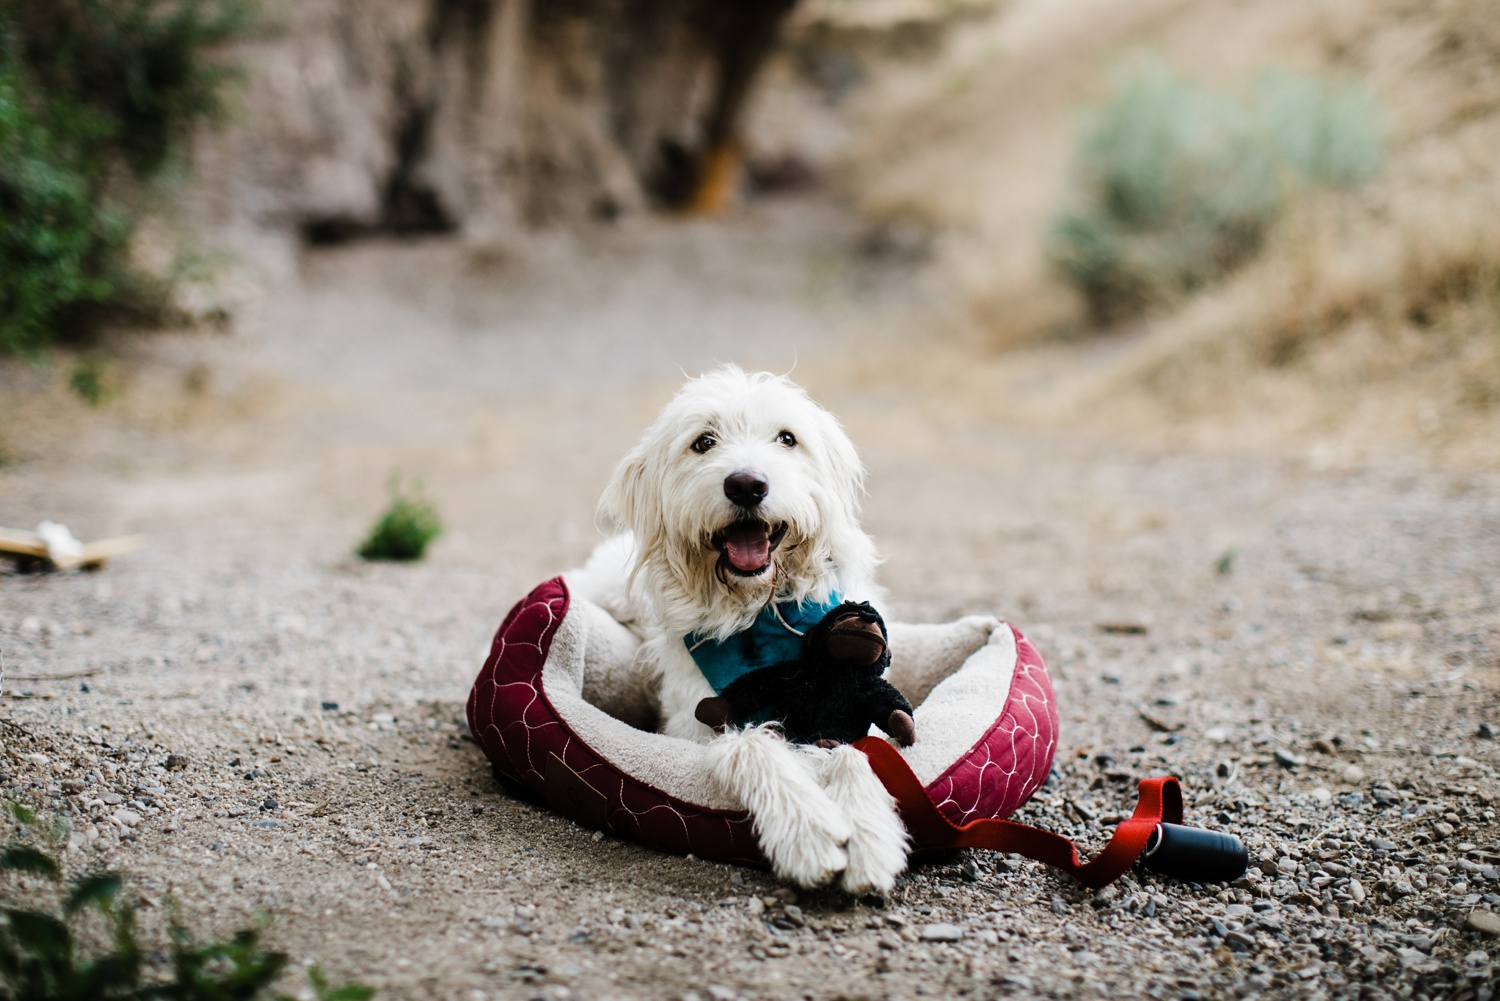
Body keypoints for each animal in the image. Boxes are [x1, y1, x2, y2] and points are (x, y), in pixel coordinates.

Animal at [567, 366, 906, 894]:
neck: (756, 615)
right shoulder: (695, 726)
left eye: (787, 438)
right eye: (703, 442)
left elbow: (856, 751)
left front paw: (869, 834)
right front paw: (807, 831)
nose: (746, 485)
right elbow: (751, 744)